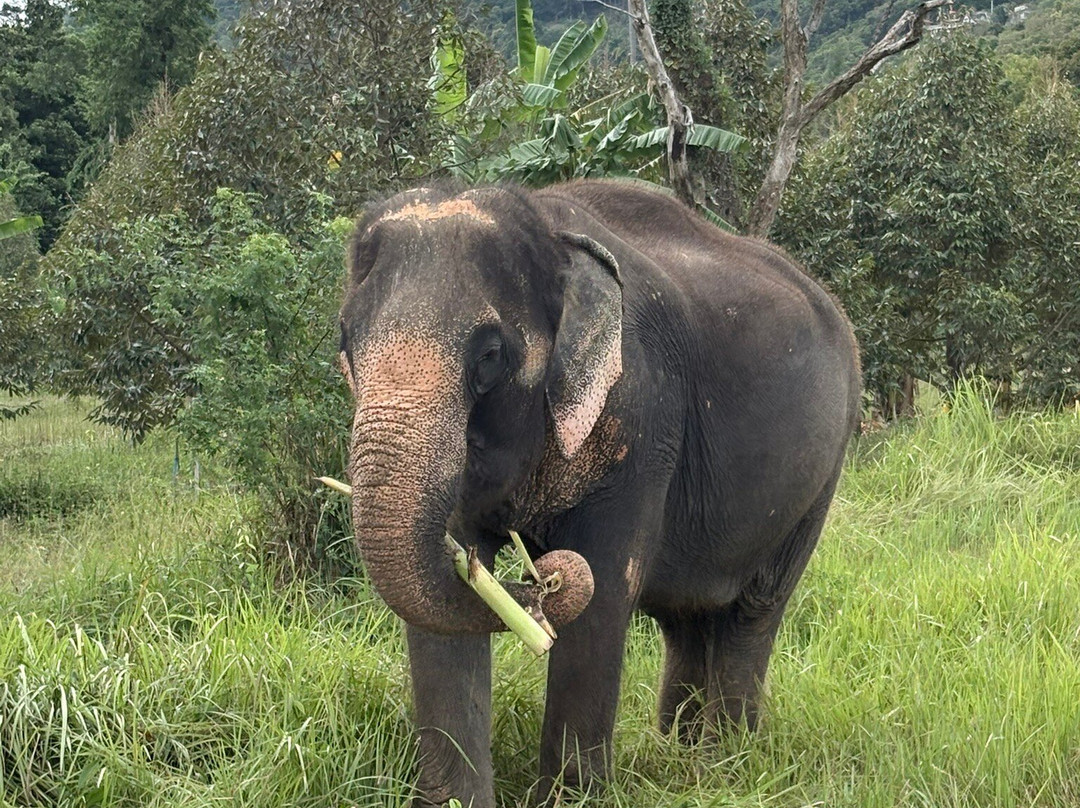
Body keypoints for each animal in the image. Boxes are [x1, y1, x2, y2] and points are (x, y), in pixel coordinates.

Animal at [338, 179, 861, 807]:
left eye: (489, 355)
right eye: (345, 341)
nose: (540, 585)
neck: (547, 228)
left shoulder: (642, 417)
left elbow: (606, 588)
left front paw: (572, 798)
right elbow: (447, 586)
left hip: (824, 470)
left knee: (752, 612)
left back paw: (727, 765)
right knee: (687, 617)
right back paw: (679, 757)